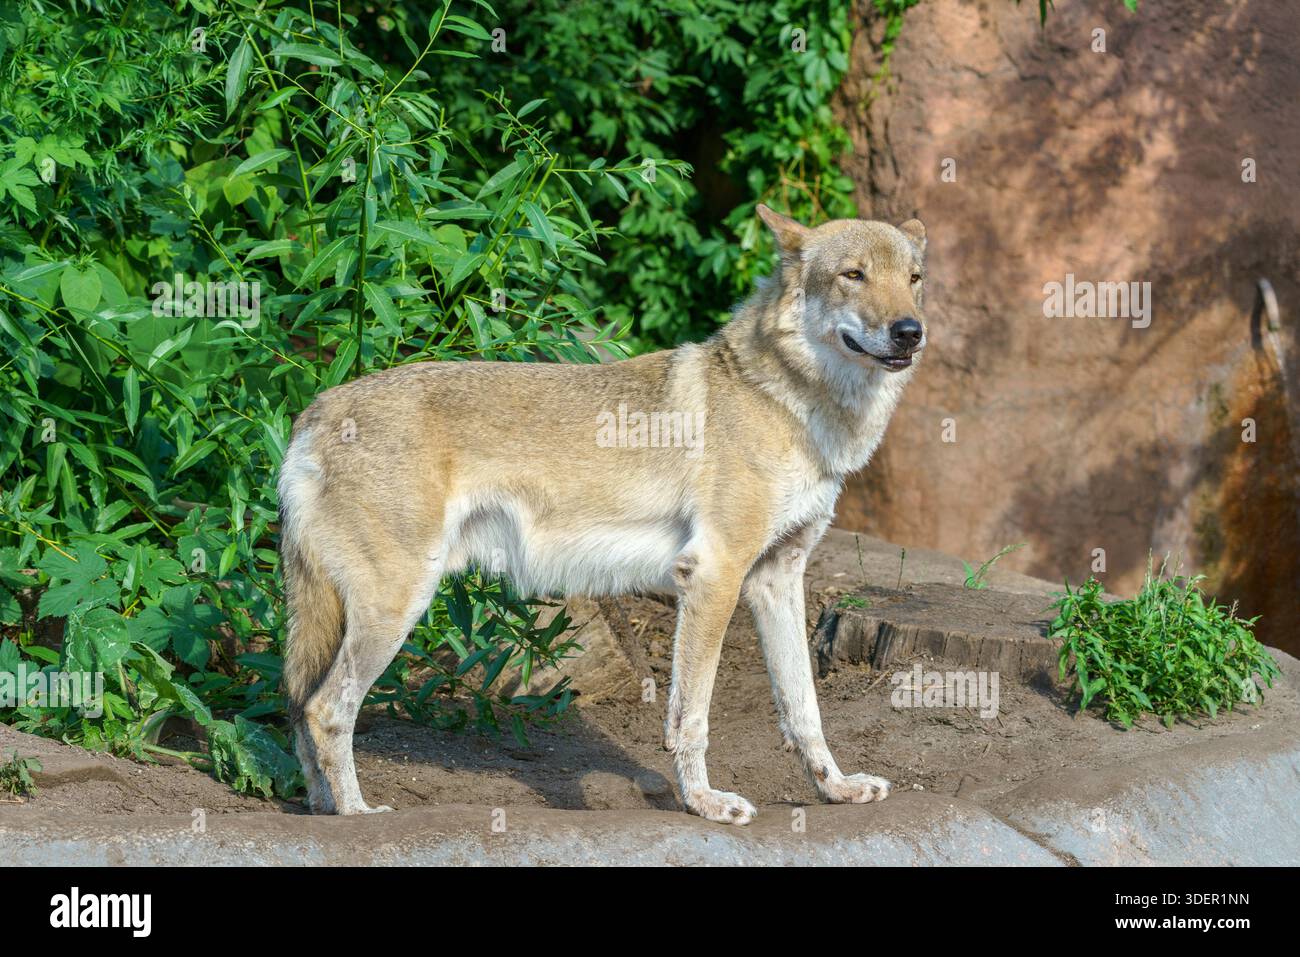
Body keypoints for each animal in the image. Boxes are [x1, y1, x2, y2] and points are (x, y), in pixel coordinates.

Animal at [278, 205, 928, 824]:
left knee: (297, 704)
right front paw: (705, 804)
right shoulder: (714, 575)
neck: (792, 405)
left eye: (913, 279)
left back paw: (321, 807)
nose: (910, 332)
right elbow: (691, 717)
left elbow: (804, 709)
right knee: (325, 708)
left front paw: (836, 790)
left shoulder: (777, 578)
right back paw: (356, 813)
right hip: (397, 604)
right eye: (853, 275)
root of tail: (313, 412)